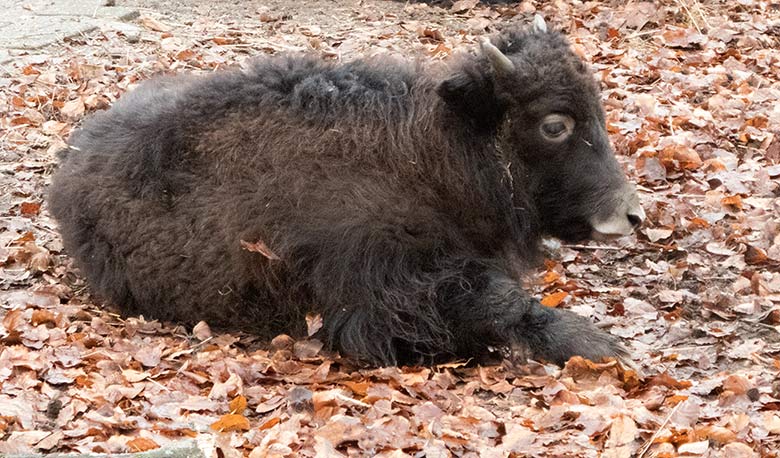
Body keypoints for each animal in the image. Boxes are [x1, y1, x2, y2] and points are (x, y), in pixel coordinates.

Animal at [50, 18, 644, 364]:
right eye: (554, 124)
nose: (631, 214)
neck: (432, 147)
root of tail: (70, 166)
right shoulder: (385, 293)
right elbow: (497, 302)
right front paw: (599, 345)